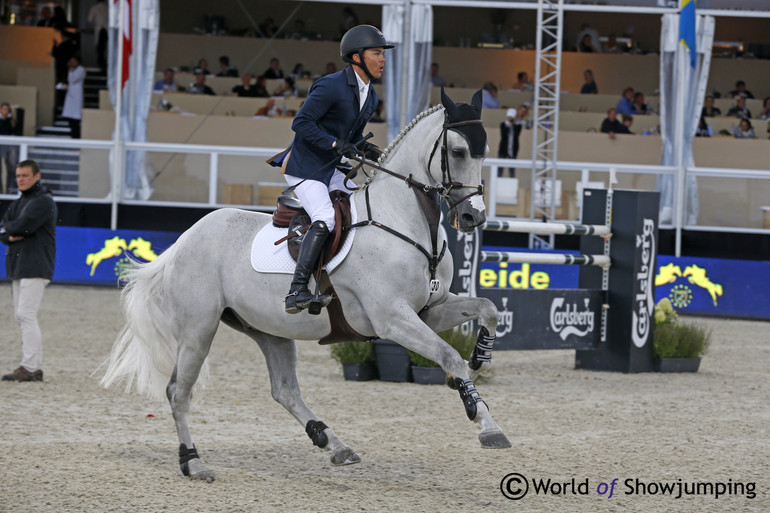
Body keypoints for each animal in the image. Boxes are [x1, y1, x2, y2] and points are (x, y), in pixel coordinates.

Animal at [102, 89, 510, 480]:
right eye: (457, 151)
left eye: (486, 152)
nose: (473, 217)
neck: (403, 223)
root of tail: (183, 240)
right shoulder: (392, 319)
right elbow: (448, 355)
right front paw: (484, 421)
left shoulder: (428, 311)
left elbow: (487, 309)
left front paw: (480, 359)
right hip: (198, 329)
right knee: (178, 391)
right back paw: (194, 463)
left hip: (269, 330)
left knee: (284, 390)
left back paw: (334, 444)